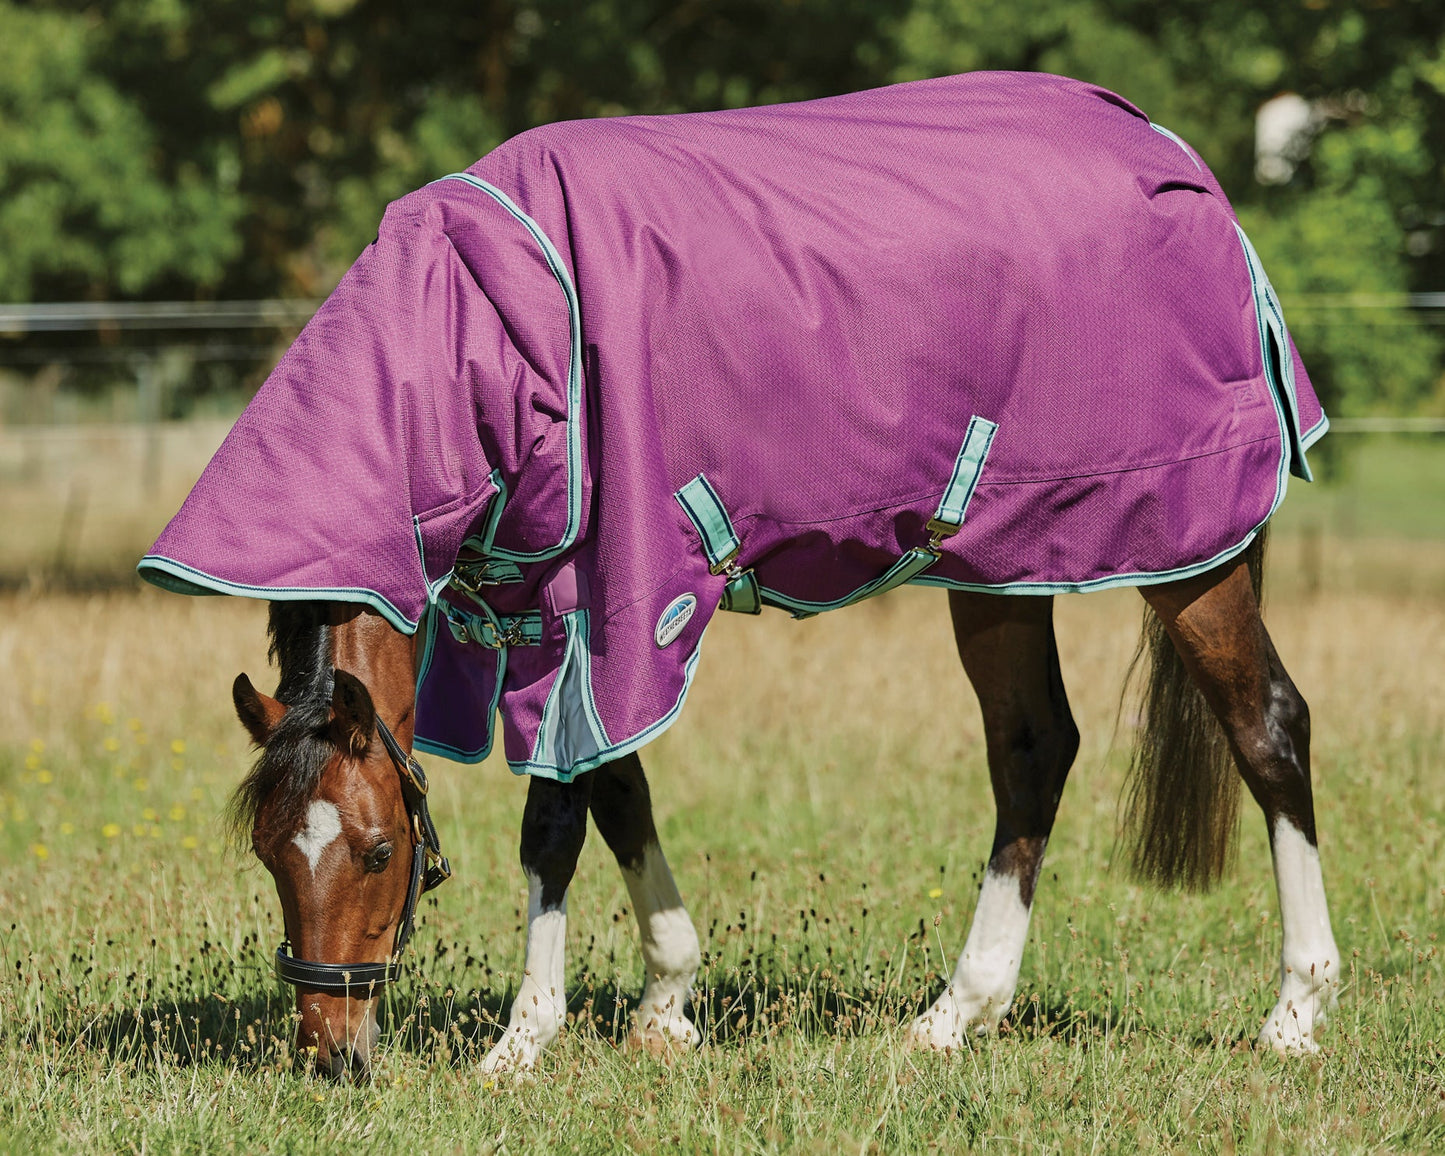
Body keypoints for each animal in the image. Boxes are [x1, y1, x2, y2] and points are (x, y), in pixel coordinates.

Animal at [143, 71, 1340, 1079]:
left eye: (379, 849)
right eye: (269, 854)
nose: (330, 1051)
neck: (487, 336)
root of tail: (1179, 165)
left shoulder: (599, 606)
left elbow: (555, 821)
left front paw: (520, 1044)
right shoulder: (560, 621)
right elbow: (618, 791)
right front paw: (665, 1001)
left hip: (1185, 552)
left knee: (1266, 726)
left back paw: (1294, 1009)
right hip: (1001, 565)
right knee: (1033, 749)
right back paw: (955, 1013)